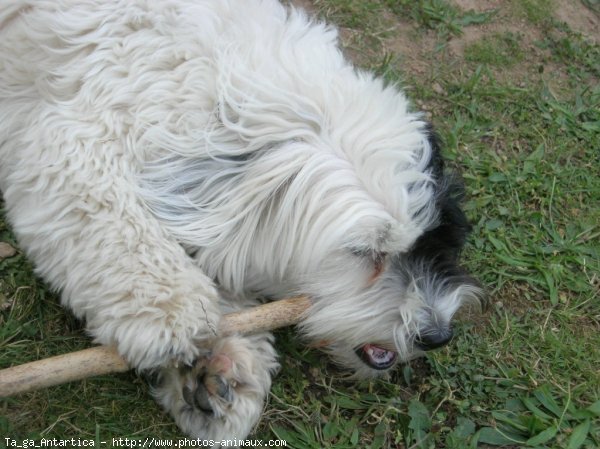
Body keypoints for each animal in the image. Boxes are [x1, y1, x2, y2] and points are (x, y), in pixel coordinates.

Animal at [0, 0, 482, 440]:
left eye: (436, 242)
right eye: (365, 251)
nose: (437, 334)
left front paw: (217, 366)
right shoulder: (69, 144)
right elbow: (118, 226)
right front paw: (176, 320)